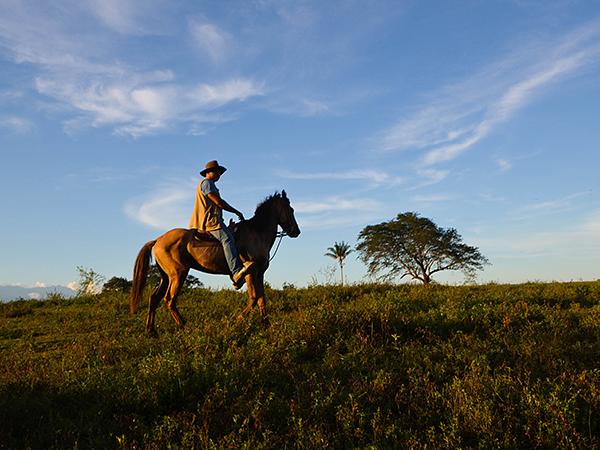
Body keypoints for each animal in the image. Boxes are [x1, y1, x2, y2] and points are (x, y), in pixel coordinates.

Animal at [130, 189, 300, 334]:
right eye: (291, 210)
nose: (296, 231)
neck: (257, 233)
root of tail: (158, 240)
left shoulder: (260, 274)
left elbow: (261, 299)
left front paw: (267, 325)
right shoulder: (250, 273)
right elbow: (253, 298)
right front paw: (236, 321)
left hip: (166, 276)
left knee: (154, 299)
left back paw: (151, 331)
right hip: (178, 274)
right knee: (170, 300)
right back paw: (184, 326)